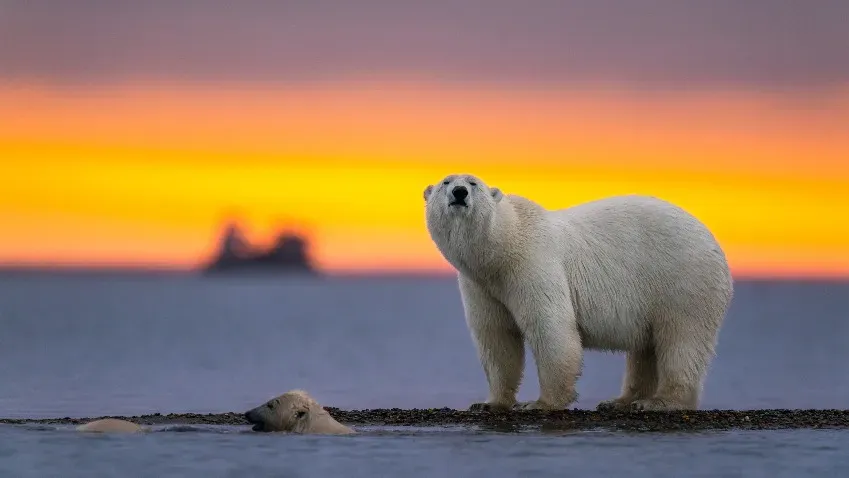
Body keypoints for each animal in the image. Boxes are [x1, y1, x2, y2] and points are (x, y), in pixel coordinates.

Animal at [424, 174, 736, 412]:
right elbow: (497, 337)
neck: (503, 247)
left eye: (473, 182)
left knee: (681, 339)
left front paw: (540, 403)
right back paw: (621, 401)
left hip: (683, 280)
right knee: (645, 348)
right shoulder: (481, 285)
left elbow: (551, 328)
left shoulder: (533, 263)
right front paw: (490, 403)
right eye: (445, 181)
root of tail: (713, 242)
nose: (459, 192)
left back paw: (660, 401)